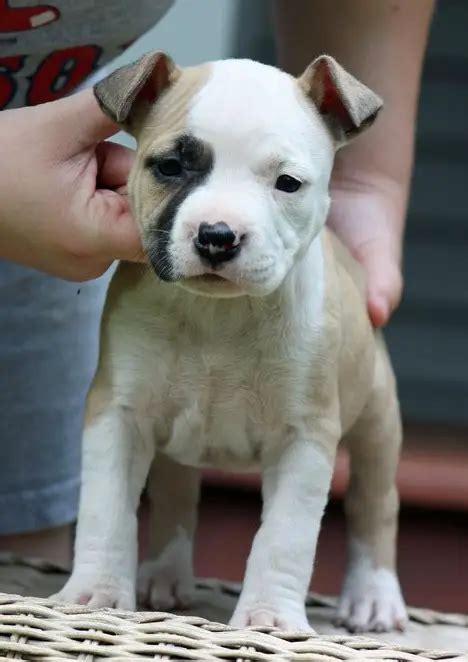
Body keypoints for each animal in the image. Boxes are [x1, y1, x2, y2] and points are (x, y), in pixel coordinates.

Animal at [53, 50, 408, 632]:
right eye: (170, 168)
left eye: (288, 183)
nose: (217, 236)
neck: (218, 315)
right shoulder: (119, 413)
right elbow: (107, 510)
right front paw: (97, 594)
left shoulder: (306, 436)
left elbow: (284, 538)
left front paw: (269, 619)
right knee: (176, 494)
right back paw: (165, 575)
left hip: (379, 417)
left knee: (374, 504)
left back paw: (375, 596)